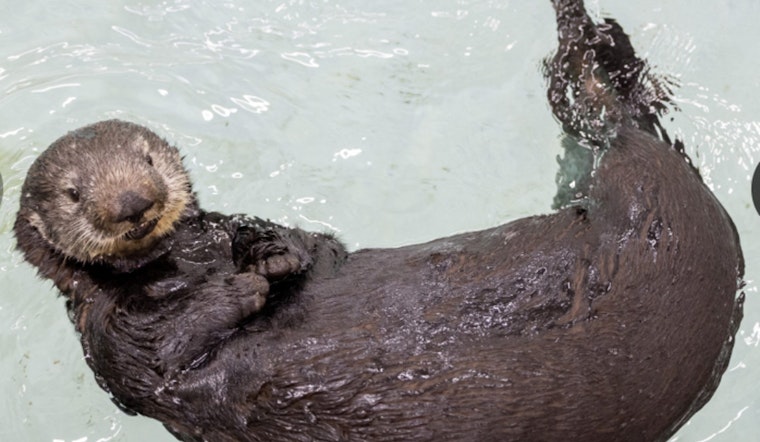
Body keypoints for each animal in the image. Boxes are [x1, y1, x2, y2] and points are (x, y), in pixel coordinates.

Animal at [14, 1, 744, 441]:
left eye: (147, 158)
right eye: (75, 193)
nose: (133, 203)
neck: (183, 266)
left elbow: (315, 248)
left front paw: (272, 252)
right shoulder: (117, 347)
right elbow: (168, 356)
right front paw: (242, 287)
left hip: (646, 205)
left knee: (606, 113)